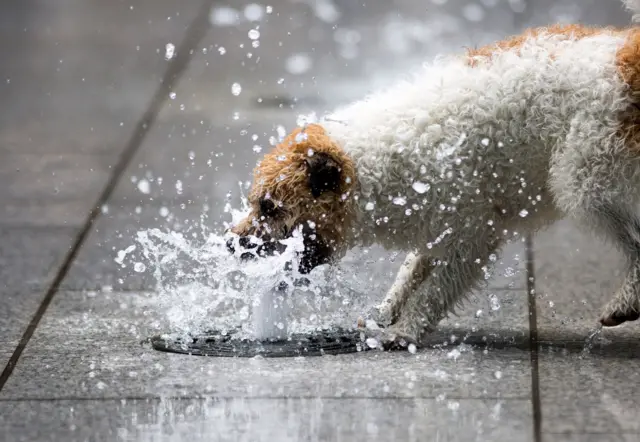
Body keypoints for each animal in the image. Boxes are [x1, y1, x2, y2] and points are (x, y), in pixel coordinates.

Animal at [228, 0, 640, 348]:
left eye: (269, 207)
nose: (231, 242)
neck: (372, 166)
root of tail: (625, 59)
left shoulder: (472, 235)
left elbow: (433, 291)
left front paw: (405, 331)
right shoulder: (436, 224)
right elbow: (410, 273)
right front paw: (384, 314)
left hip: (584, 182)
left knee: (633, 243)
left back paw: (625, 302)